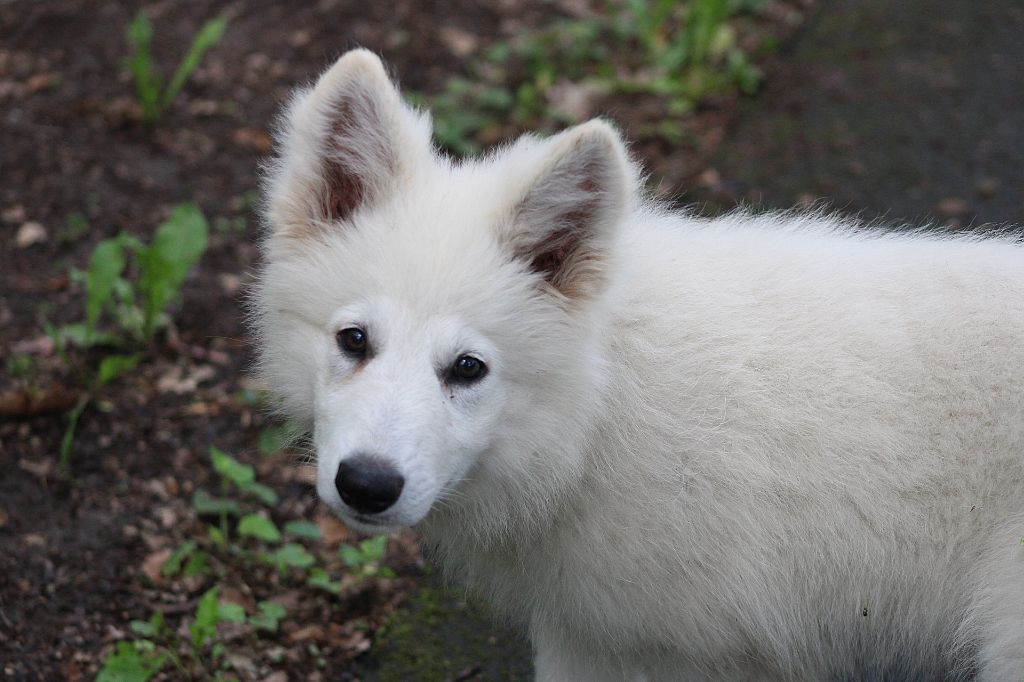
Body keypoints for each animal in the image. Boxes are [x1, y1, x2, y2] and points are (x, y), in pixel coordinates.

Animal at [249, 50, 1024, 675]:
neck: (600, 411)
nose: (367, 486)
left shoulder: (677, 650)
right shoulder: (597, 639)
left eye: (467, 369)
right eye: (354, 341)